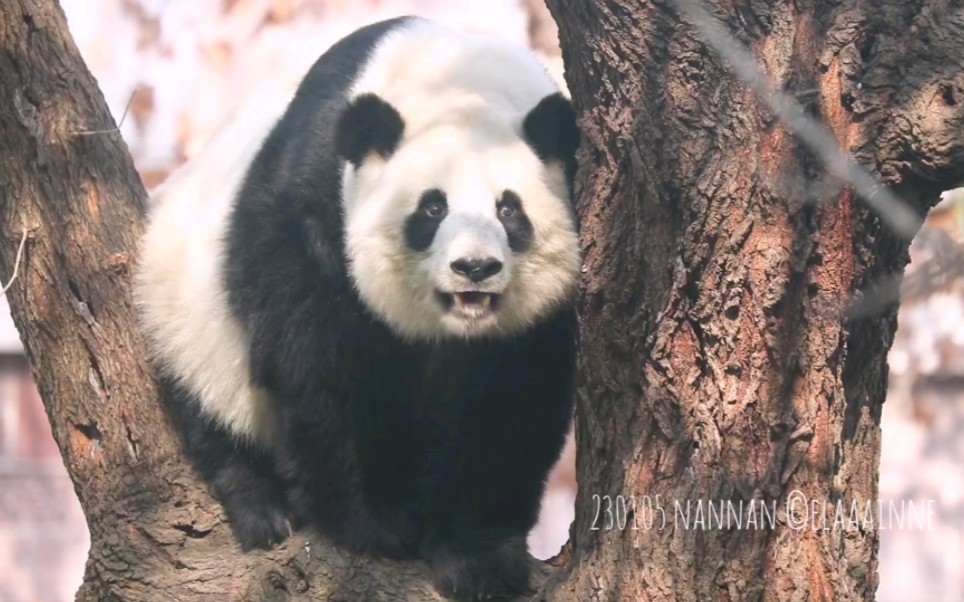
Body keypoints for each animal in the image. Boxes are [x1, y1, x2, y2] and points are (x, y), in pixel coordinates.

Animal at [136, 16, 580, 596]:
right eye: (432, 208)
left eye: (509, 210)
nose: (475, 267)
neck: (457, 81)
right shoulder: (314, 207)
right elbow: (320, 367)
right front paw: (374, 522)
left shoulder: (541, 317)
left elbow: (512, 402)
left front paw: (480, 557)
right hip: (183, 309)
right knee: (211, 411)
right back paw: (262, 509)